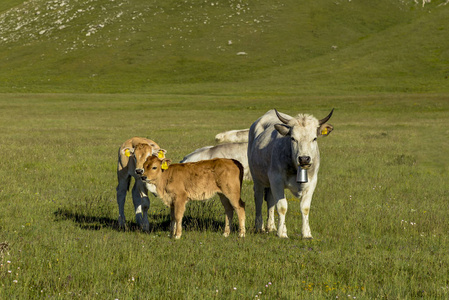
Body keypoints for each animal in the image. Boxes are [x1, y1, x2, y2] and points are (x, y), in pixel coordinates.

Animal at [245, 109, 332, 238]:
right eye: (293, 138)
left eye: (314, 138)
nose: (304, 159)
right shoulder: (277, 180)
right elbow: (282, 207)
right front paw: (282, 233)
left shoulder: (312, 182)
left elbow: (305, 208)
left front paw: (307, 233)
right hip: (257, 178)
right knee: (259, 198)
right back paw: (259, 226)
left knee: (270, 200)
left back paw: (271, 226)